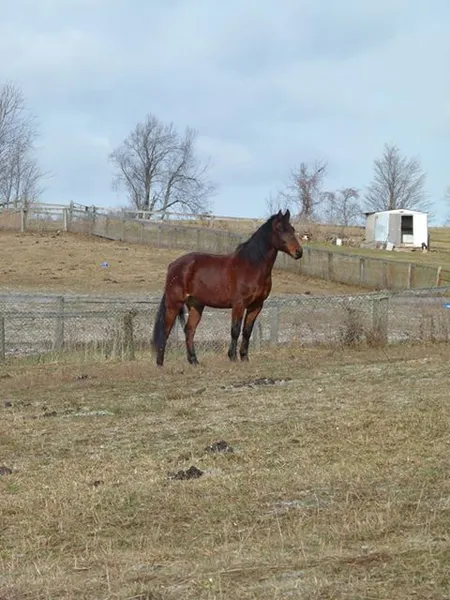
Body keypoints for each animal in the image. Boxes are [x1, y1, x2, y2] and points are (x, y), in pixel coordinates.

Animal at [150, 211, 302, 366]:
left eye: (292, 229)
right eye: (280, 229)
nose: (298, 252)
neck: (251, 266)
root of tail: (173, 265)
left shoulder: (256, 306)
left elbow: (247, 331)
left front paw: (245, 358)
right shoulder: (239, 304)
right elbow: (235, 330)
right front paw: (232, 357)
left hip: (196, 305)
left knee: (189, 330)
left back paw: (194, 361)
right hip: (174, 304)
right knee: (166, 331)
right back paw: (160, 363)